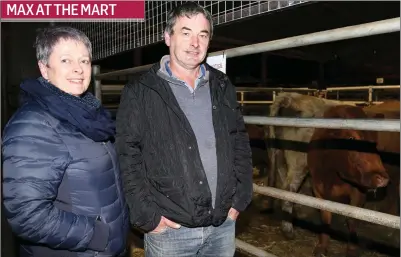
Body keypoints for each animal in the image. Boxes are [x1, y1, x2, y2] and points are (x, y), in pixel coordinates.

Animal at [306, 104, 388, 256]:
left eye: (374, 143)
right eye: (350, 138)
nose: (383, 178)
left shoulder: (358, 192)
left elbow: (352, 218)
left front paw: (352, 248)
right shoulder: (317, 187)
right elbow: (325, 216)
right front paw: (322, 246)